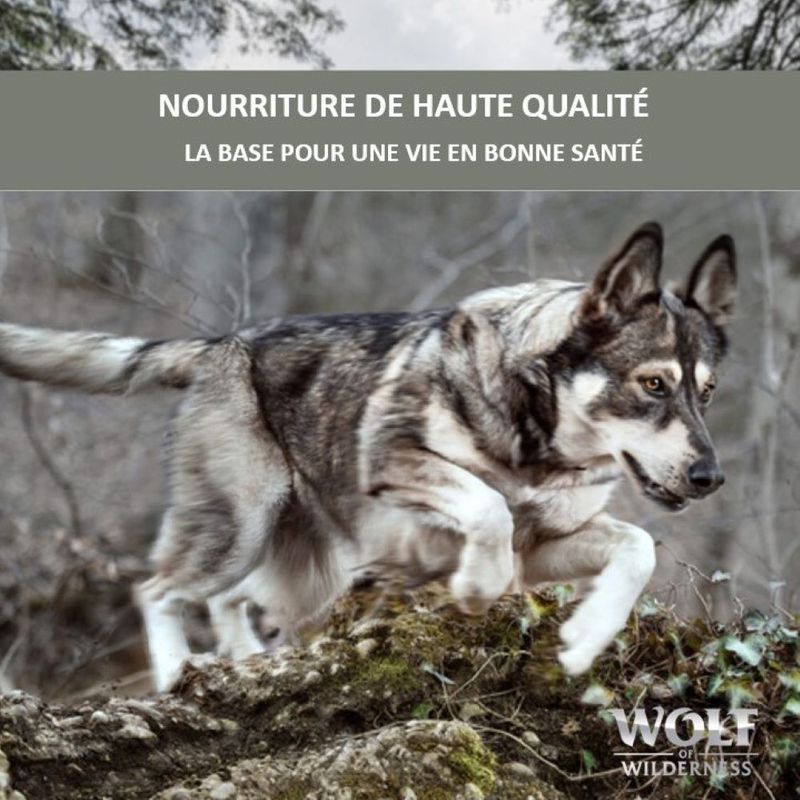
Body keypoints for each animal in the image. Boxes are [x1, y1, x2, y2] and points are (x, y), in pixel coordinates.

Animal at [0, 222, 736, 691]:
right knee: (157, 590)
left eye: (707, 392)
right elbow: (489, 507)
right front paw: (477, 585)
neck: (537, 438)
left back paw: (243, 658)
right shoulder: (398, 465)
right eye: (653, 384)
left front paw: (585, 638)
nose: (711, 477)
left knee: (228, 600)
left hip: (294, 558)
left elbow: (636, 548)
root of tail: (219, 345)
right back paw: (179, 671)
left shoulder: (549, 545)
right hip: (240, 528)